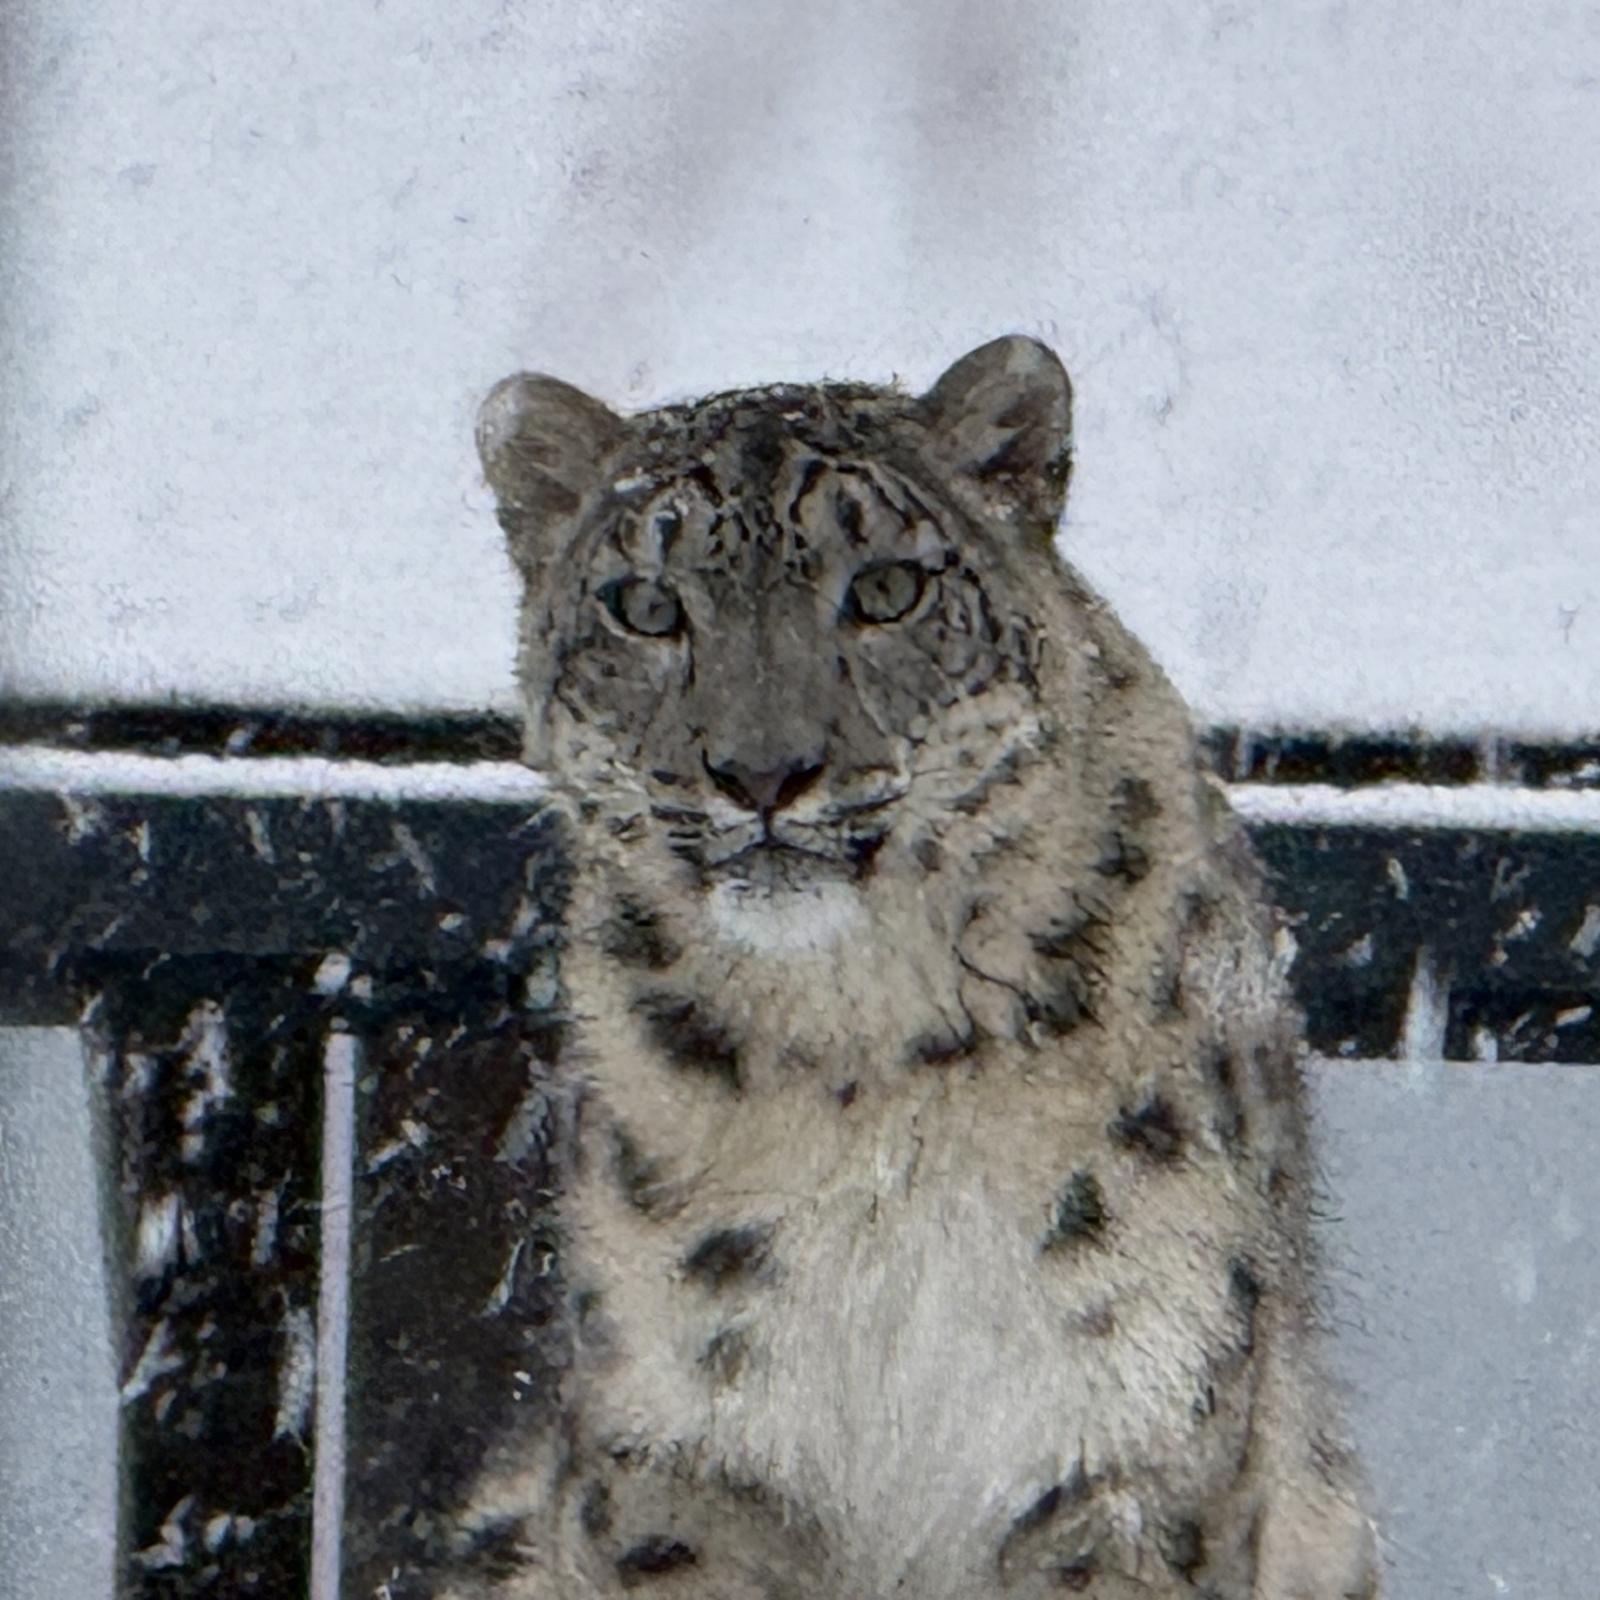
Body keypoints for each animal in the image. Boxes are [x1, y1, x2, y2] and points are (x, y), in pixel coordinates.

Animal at [451, 331, 1376, 1593]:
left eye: (887, 588)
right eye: (645, 605)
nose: (761, 771)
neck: (869, 1055)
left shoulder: (1131, 1407)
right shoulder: (687, 1431)